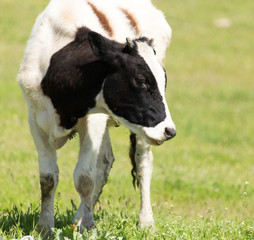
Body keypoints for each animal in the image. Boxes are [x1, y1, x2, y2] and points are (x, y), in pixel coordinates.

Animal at [17, 0, 176, 236]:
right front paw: (44, 227)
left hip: (141, 132)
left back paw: (145, 221)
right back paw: (78, 218)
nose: (170, 131)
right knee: (105, 162)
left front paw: (89, 226)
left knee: (142, 164)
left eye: (163, 81)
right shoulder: (35, 119)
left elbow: (84, 177)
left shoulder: (93, 121)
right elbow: (48, 178)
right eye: (141, 80)